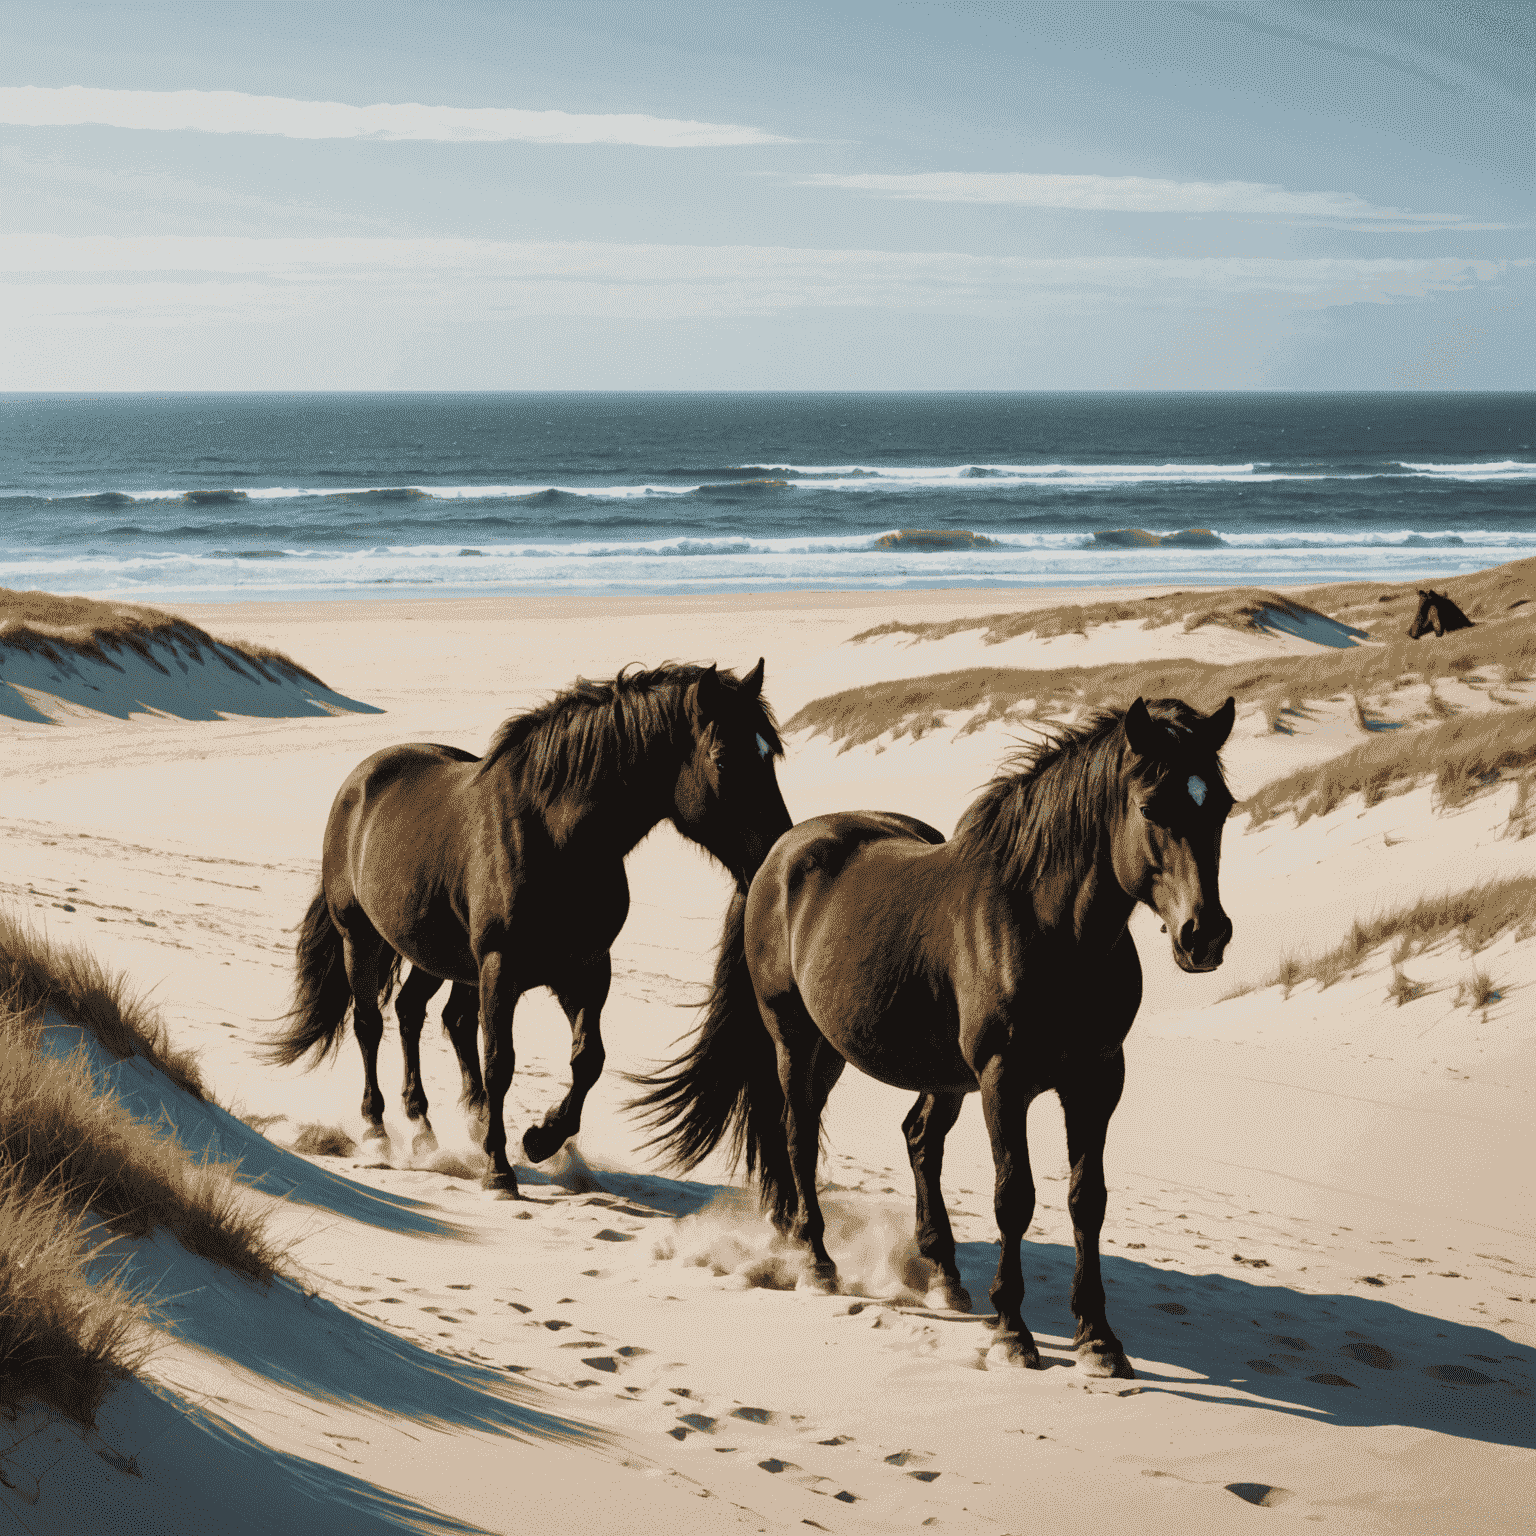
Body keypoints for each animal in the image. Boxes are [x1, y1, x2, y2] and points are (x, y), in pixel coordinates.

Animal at [268, 654, 792, 1191]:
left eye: (770, 755)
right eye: (725, 761)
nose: (776, 850)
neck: (555, 837)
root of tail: (360, 780)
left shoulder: (585, 968)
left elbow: (588, 1059)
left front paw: (541, 1138)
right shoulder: (502, 967)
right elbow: (501, 1062)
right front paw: (498, 1169)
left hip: (438, 955)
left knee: (418, 1014)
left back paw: (426, 1128)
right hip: (362, 938)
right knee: (370, 1023)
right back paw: (377, 1130)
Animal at [632, 697, 1234, 1382]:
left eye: (1221, 806)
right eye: (1152, 807)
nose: (1205, 935)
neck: (1050, 929)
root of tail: (780, 851)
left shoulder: (1098, 1078)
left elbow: (1088, 1200)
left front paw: (1099, 1339)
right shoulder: (1004, 1080)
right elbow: (1014, 1198)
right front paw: (1013, 1331)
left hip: (905, 1065)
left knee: (918, 1139)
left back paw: (944, 1276)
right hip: (799, 1040)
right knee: (799, 1136)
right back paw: (817, 1262)